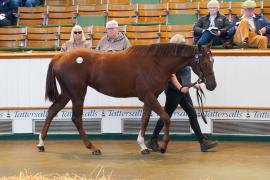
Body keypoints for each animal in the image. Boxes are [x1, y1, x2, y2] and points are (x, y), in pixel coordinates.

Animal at [36, 43, 217, 155]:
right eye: (204, 62)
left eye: (213, 61)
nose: (212, 85)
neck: (155, 63)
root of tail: (59, 57)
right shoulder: (147, 96)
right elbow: (166, 117)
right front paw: (163, 146)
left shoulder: (150, 97)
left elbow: (145, 119)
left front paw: (143, 146)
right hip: (78, 93)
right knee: (76, 118)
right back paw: (92, 147)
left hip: (68, 93)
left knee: (52, 111)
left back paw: (41, 144)